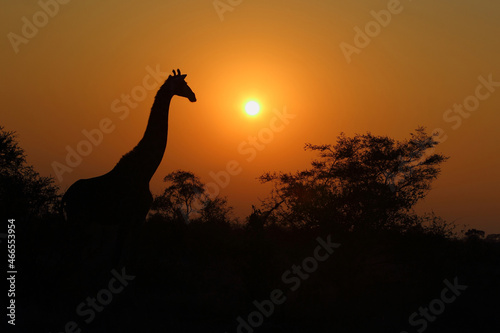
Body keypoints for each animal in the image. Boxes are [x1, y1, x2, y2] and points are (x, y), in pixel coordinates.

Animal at [61, 68, 196, 264]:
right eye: (183, 84)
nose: (193, 96)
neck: (146, 172)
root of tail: (66, 196)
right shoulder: (126, 217)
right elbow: (118, 257)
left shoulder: (138, 218)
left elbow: (130, 255)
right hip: (78, 219)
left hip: (80, 221)